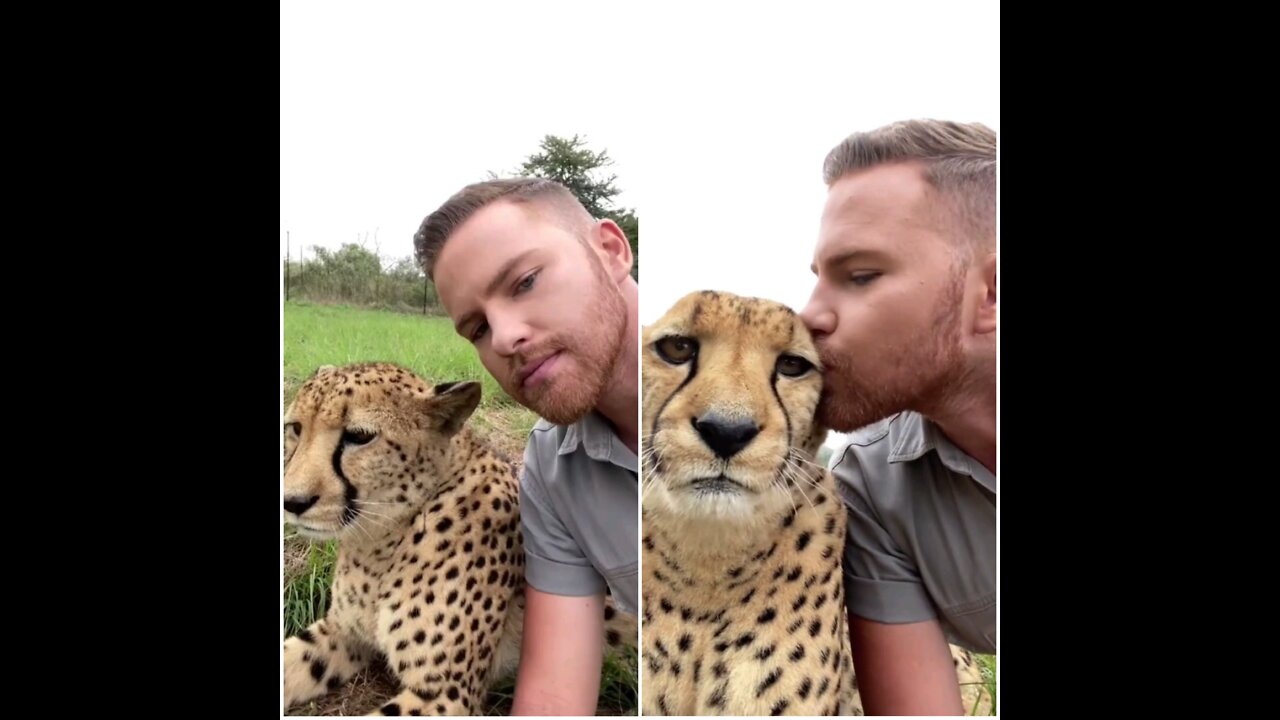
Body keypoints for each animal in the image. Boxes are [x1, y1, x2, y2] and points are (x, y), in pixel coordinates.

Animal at [284, 361, 634, 707]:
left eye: (359, 436)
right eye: (296, 428)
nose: (292, 501)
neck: (380, 540)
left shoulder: (446, 693)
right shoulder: (343, 632)